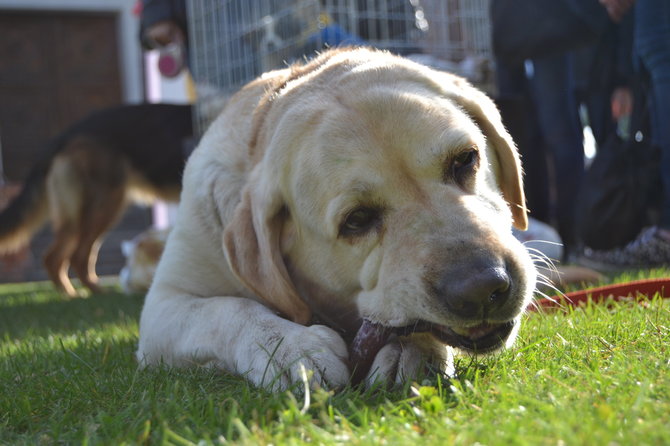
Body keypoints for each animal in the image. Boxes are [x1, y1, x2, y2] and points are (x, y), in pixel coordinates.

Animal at [0, 103, 192, 294]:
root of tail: (64, 135)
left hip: (80, 216)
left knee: (59, 256)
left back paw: (75, 292)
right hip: (104, 204)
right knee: (73, 255)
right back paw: (91, 292)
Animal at [135, 48, 536, 388]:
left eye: (465, 159)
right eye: (357, 220)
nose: (483, 288)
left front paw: (410, 349)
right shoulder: (163, 305)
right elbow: (228, 310)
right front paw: (290, 350)